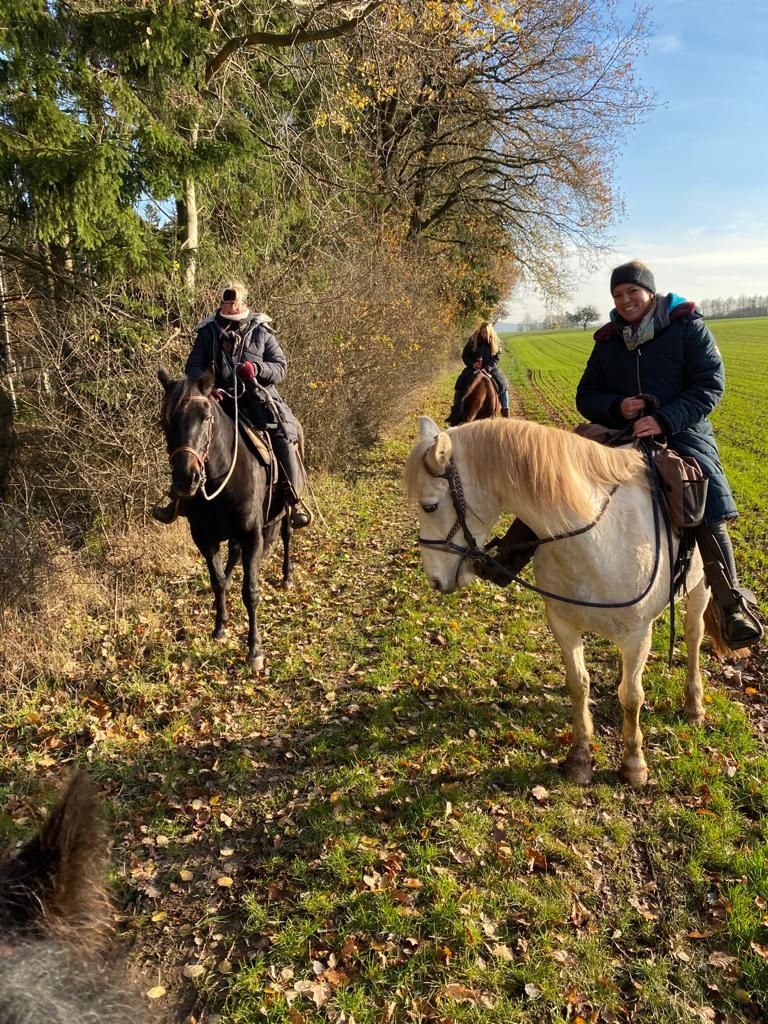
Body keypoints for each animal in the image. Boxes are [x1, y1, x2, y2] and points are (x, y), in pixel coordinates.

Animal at [157, 366, 292, 671]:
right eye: (165, 420)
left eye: (205, 417)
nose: (186, 478)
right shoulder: (204, 537)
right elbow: (217, 580)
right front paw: (220, 627)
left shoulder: (252, 534)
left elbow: (250, 591)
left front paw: (254, 650)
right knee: (233, 554)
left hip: (286, 510)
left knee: (287, 535)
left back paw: (287, 577)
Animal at [409, 415, 720, 782]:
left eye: (430, 506)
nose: (434, 579)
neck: (598, 540)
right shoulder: (563, 624)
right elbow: (578, 685)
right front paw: (580, 757)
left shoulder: (637, 633)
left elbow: (632, 697)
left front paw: (633, 763)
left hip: (700, 590)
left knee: (693, 636)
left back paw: (694, 705)